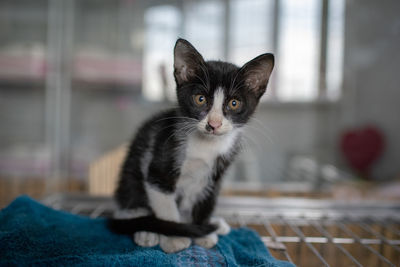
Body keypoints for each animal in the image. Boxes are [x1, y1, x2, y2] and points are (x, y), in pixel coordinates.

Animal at [108, 39, 276, 253]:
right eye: (200, 99)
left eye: (234, 103)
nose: (213, 124)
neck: (206, 146)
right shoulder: (160, 166)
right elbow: (165, 205)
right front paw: (175, 238)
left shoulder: (215, 176)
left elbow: (206, 203)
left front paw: (203, 232)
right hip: (131, 176)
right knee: (130, 203)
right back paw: (145, 230)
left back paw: (214, 224)